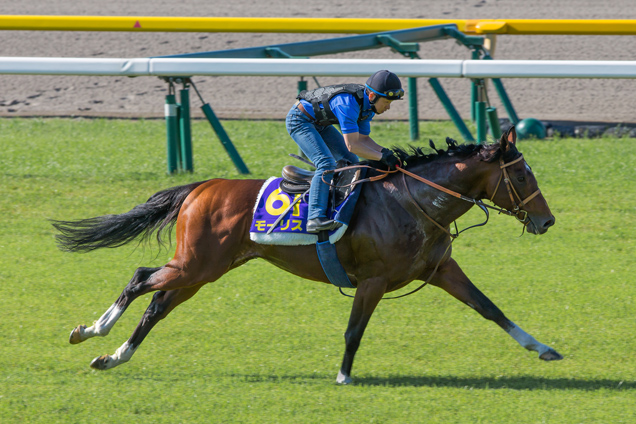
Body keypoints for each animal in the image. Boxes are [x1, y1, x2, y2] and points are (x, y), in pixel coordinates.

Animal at [54, 126, 560, 384]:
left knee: (157, 305)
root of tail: (200, 187)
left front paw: (543, 348)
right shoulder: (373, 281)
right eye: (522, 176)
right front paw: (344, 377)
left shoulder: (440, 269)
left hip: (202, 271)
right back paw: (92, 332)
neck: (414, 201)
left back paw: (113, 357)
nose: (546, 221)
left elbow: (491, 309)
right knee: (141, 278)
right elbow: (354, 331)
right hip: (196, 264)